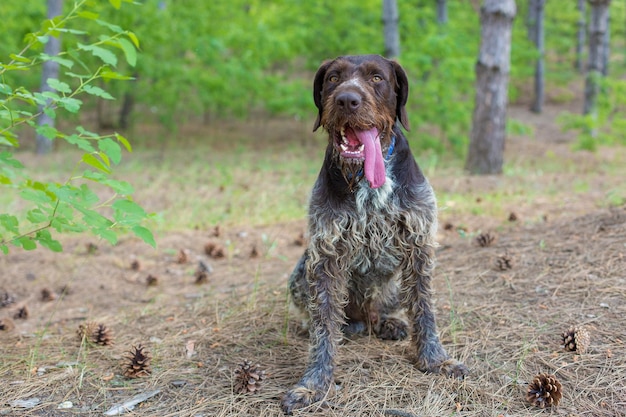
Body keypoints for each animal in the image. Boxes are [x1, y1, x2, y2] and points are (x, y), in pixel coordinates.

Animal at [280, 55, 466, 412]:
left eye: (377, 77)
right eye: (333, 78)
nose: (347, 100)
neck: (365, 178)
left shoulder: (418, 247)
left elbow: (424, 309)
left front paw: (435, 360)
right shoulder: (324, 256)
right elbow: (323, 327)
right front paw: (314, 384)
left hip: (392, 286)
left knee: (381, 311)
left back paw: (387, 323)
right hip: (301, 272)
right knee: (323, 318)